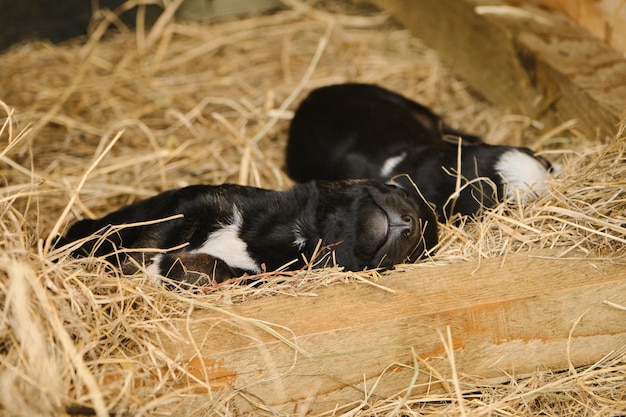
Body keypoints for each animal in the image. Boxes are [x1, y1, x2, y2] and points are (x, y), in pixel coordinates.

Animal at [59, 179, 438, 286]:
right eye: (400, 189)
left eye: (419, 252)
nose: (410, 223)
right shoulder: (198, 202)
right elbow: (153, 238)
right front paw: (135, 270)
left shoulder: (257, 277)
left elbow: (213, 268)